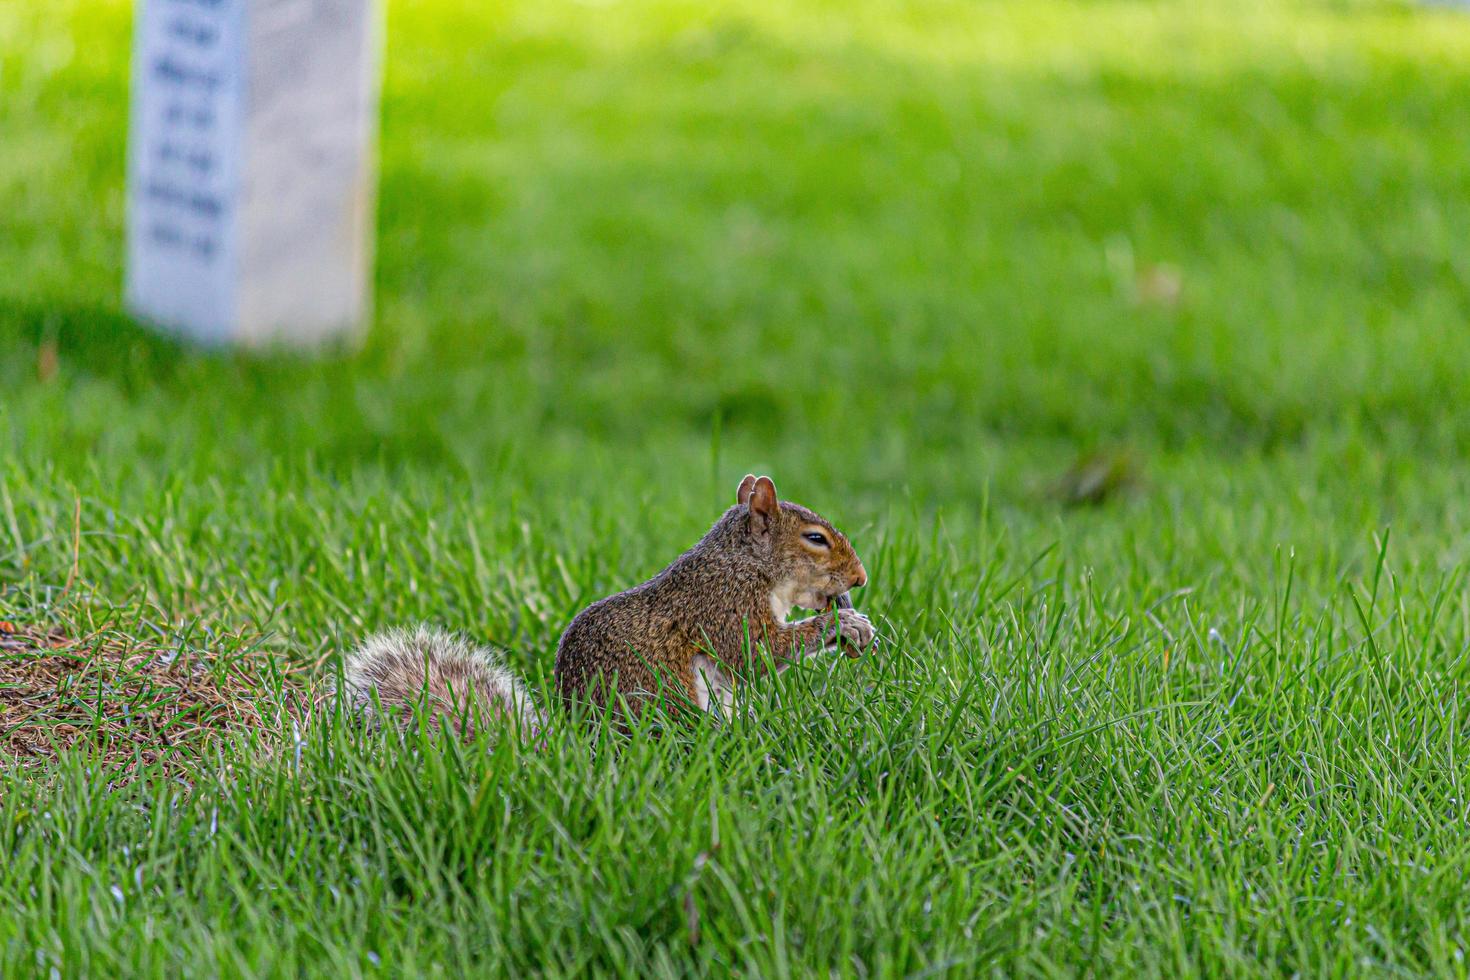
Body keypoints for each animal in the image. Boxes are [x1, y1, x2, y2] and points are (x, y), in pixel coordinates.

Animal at [341, 476, 870, 734]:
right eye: (816, 539)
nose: (860, 579)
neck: (746, 563)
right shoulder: (723, 605)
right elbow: (754, 653)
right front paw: (844, 624)